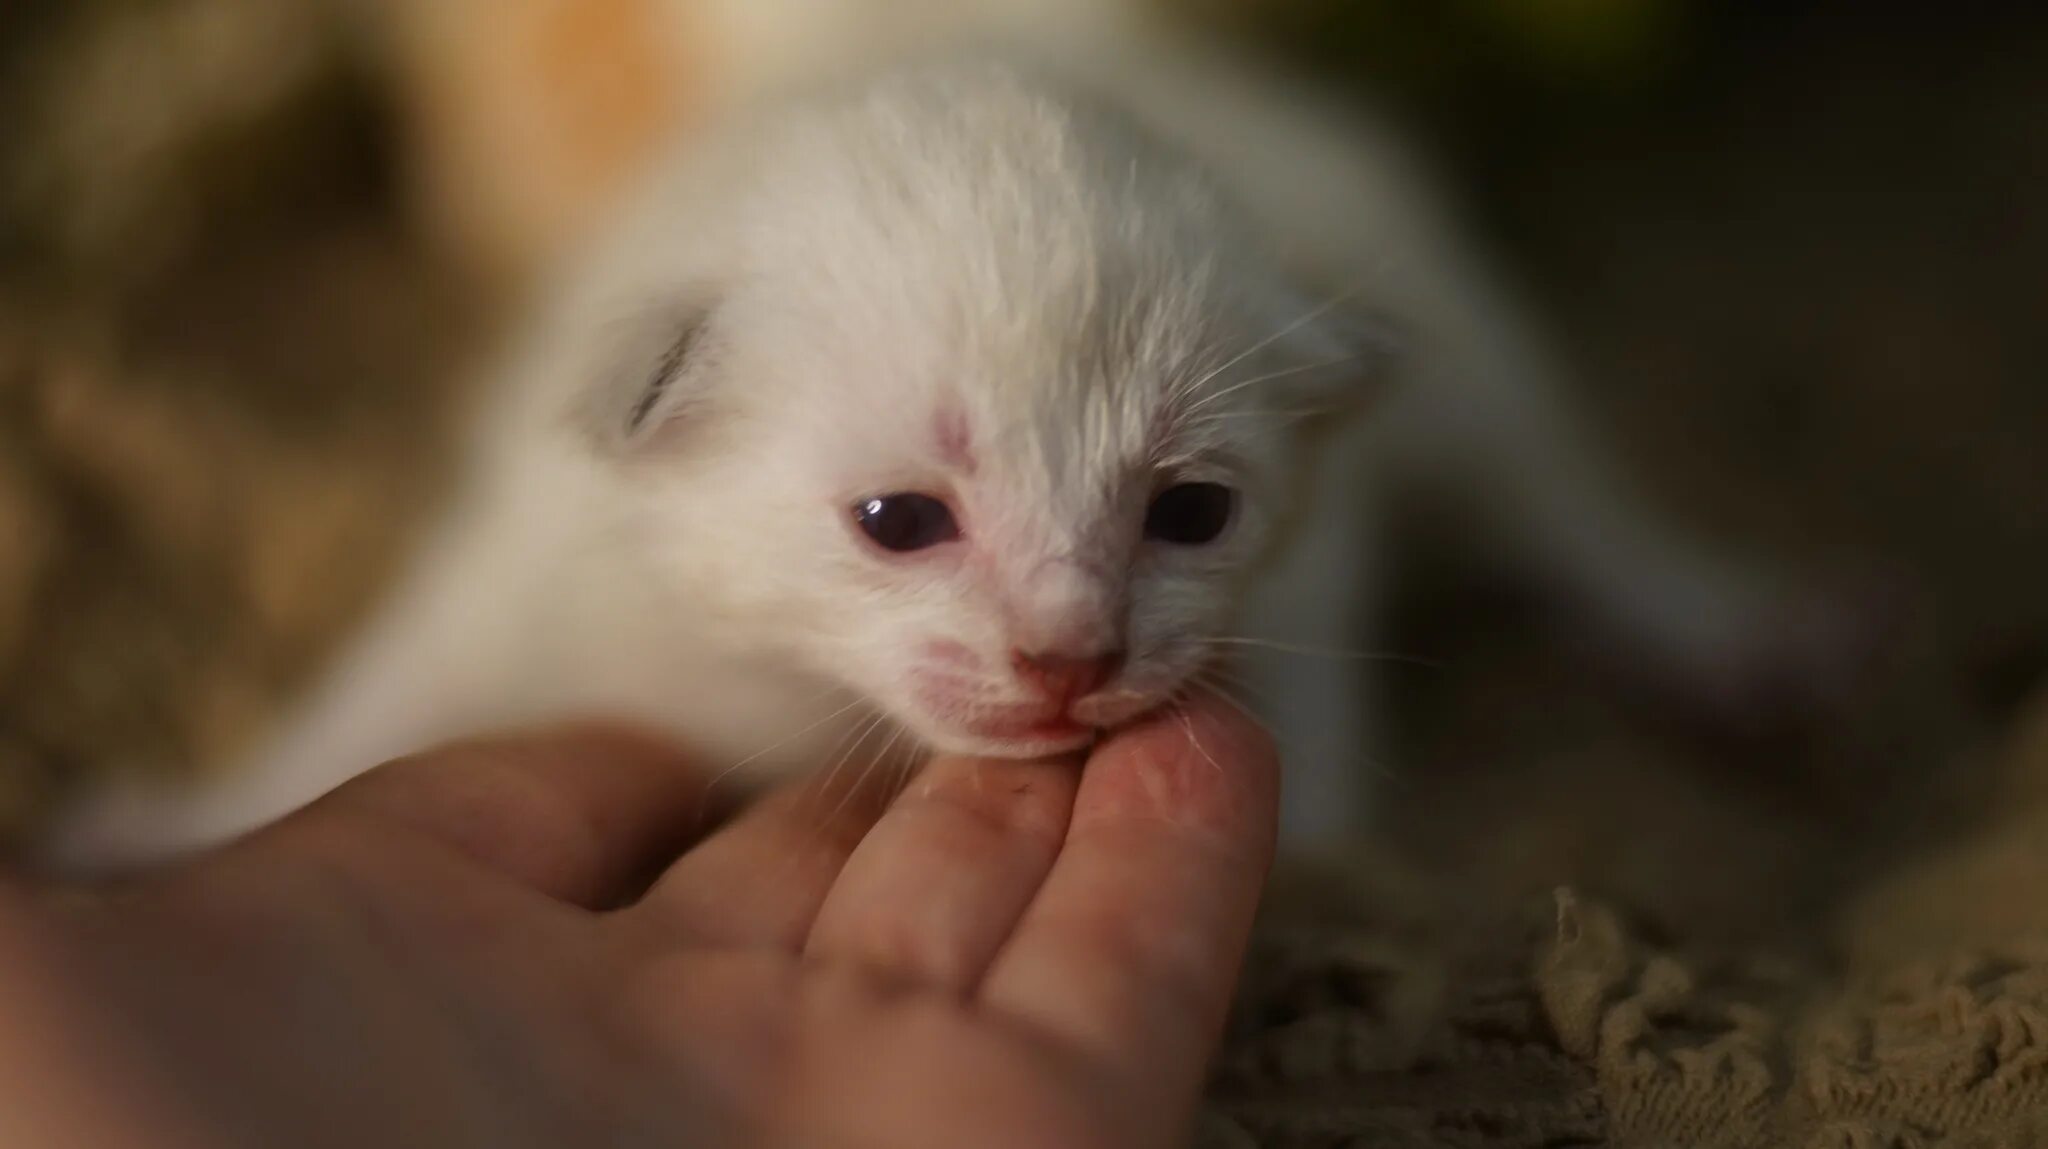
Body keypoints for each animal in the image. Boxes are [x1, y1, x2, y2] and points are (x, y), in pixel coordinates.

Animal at [44, 24, 1826, 860]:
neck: (789, 686)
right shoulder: (533, 573)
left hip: (1458, 348)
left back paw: (1726, 630)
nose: (1069, 660)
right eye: (899, 520)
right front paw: (164, 833)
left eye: (1191, 511)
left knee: (1571, 501)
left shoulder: (1324, 524)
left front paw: (1316, 860)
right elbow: (361, 719)